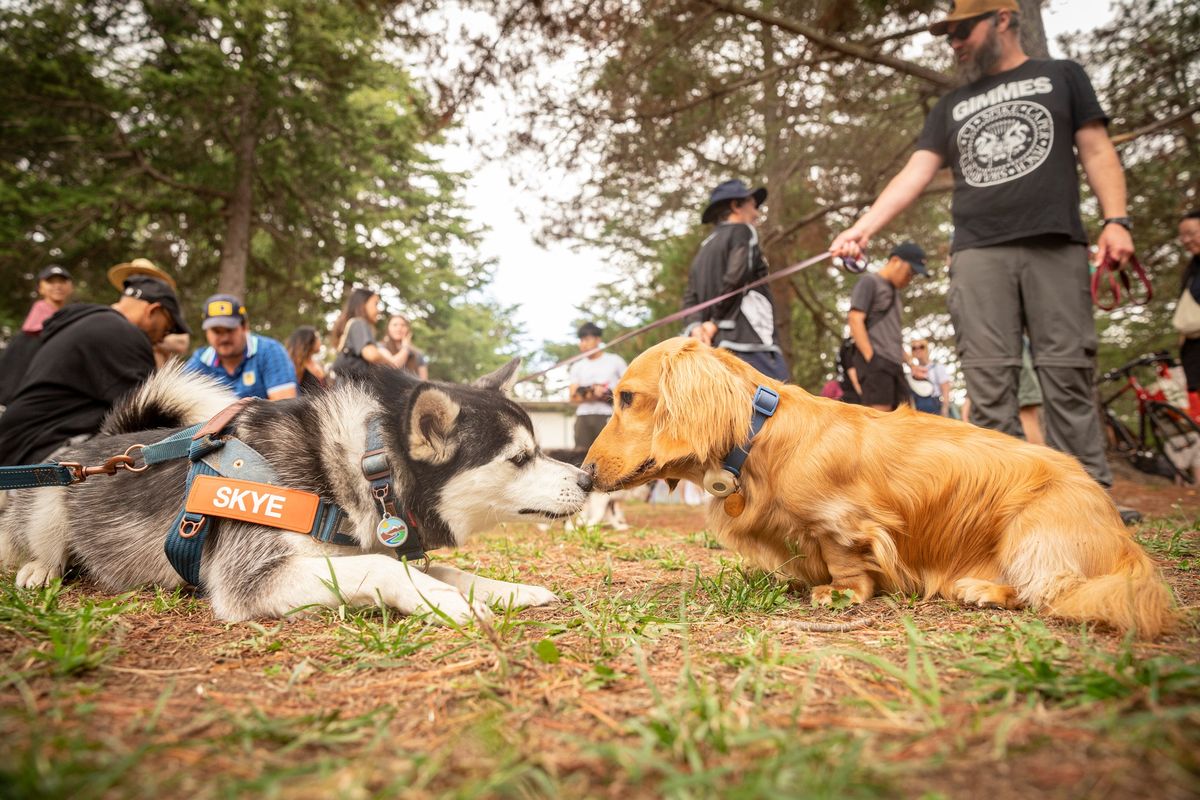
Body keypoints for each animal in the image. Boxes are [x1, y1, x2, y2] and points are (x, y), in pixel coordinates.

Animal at [0, 362, 590, 623]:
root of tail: (106, 442)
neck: (359, 471)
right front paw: (447, 602)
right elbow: (384, 568)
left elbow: (439, 568)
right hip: (50, 495)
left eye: (539, 449)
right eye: (520, 458)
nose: (587, 478)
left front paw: (507, 589)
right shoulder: (254, 577)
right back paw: (39, 570)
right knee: (38, 543)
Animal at [585, 335, 1176, 638]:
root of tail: (1119, 533)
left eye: (627, 398)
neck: (760, 435)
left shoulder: (842, 523)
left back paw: (985, 590)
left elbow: (844, 559)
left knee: (1051, 592)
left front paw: (839, 592)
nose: (586, 476)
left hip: (1031, 531)